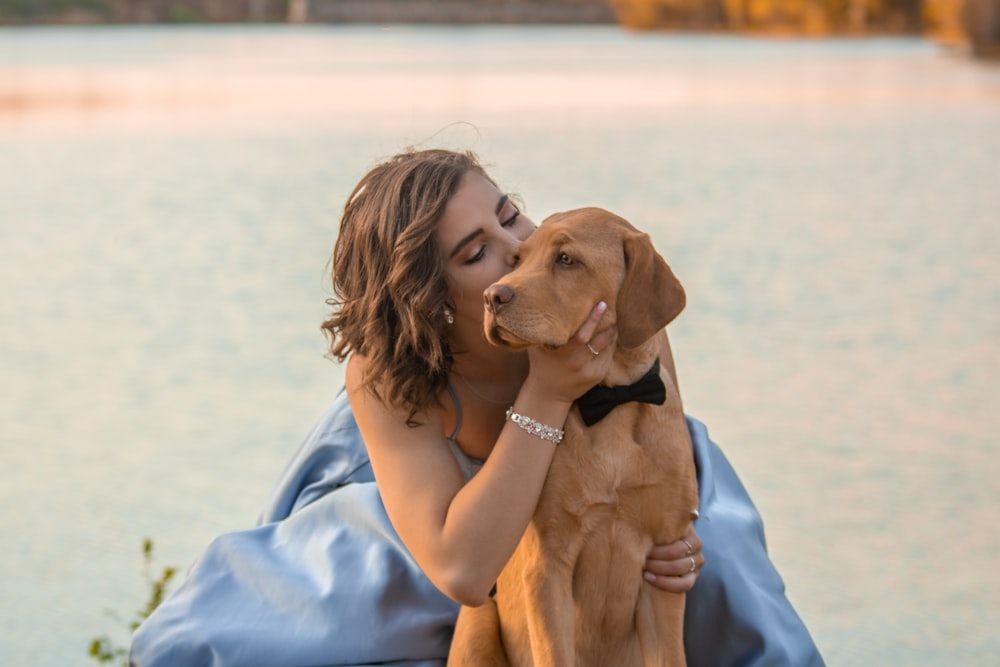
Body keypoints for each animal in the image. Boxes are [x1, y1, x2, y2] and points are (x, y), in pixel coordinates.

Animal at [450, 206, 700, 664]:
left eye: (566, 259)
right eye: (518, 260)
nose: (492, 297)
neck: (614, 404)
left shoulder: (663, 566)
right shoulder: (548, 565)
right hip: (477, 622)